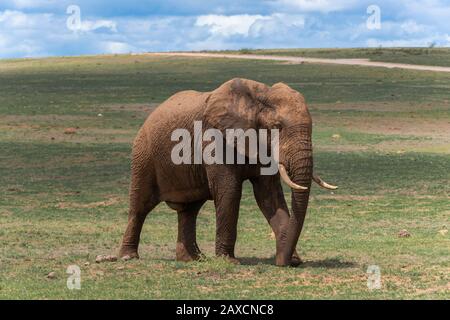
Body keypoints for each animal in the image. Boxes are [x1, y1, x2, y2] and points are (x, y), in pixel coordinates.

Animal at [118, 78, 336, 268]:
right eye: (277, 127)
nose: (283, 262)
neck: (259, 96)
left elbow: (269, 195)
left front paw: (292, 260)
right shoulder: (215, 138)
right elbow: (229, 191)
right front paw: (229, 261)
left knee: (189, 210)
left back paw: (193, 259)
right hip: (143, 156)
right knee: (140, 205)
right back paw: (128, 257)